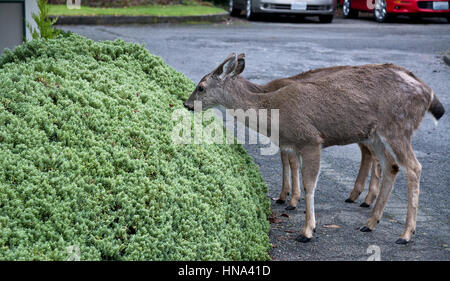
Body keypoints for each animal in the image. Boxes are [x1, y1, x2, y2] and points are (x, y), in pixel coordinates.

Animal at [183, 52, 442, 243]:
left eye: (201, 87)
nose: (186, 104)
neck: (272, 110)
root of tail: (428, 92)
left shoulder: (310, 140)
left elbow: (309, 184)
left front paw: (307, 230)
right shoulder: (292, 143)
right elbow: (294, 168)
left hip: (397, 126)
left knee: (413, 167)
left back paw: (405, 234)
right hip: (377, 134)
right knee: (392, 166)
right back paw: (369, 224)